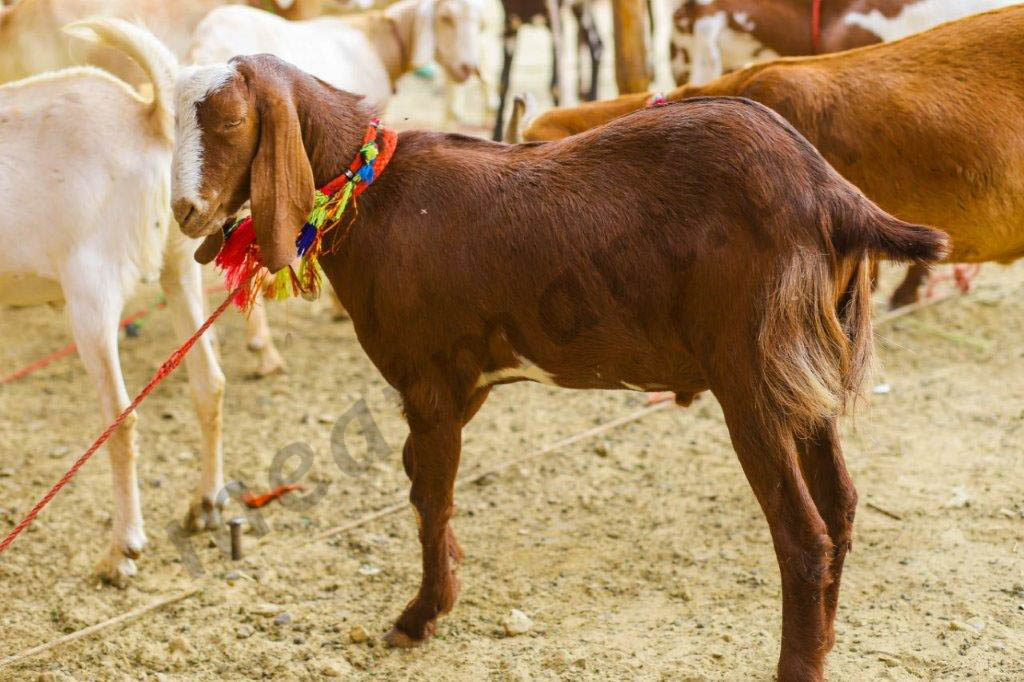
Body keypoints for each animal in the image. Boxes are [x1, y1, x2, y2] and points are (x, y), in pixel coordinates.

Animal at [0, 19, 227, 585]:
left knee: (121, 418)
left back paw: (122, 550)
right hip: (179, 267)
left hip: (91, 290)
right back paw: (206, 504)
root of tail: (146, 114)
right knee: (208, 382)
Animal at [169, 54, 947, 680]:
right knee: (842, 505)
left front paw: (420, 615)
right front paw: (447, 588)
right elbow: (420, 483)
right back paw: (826, 642)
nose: (183, 211)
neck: (374, 192)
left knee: (803, 534)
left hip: (751, 372)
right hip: (805, 367)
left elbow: (431, 496)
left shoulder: (429, 379)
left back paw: (797, 664)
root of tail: (832, 196)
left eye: (231, 120)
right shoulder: (465, 383)